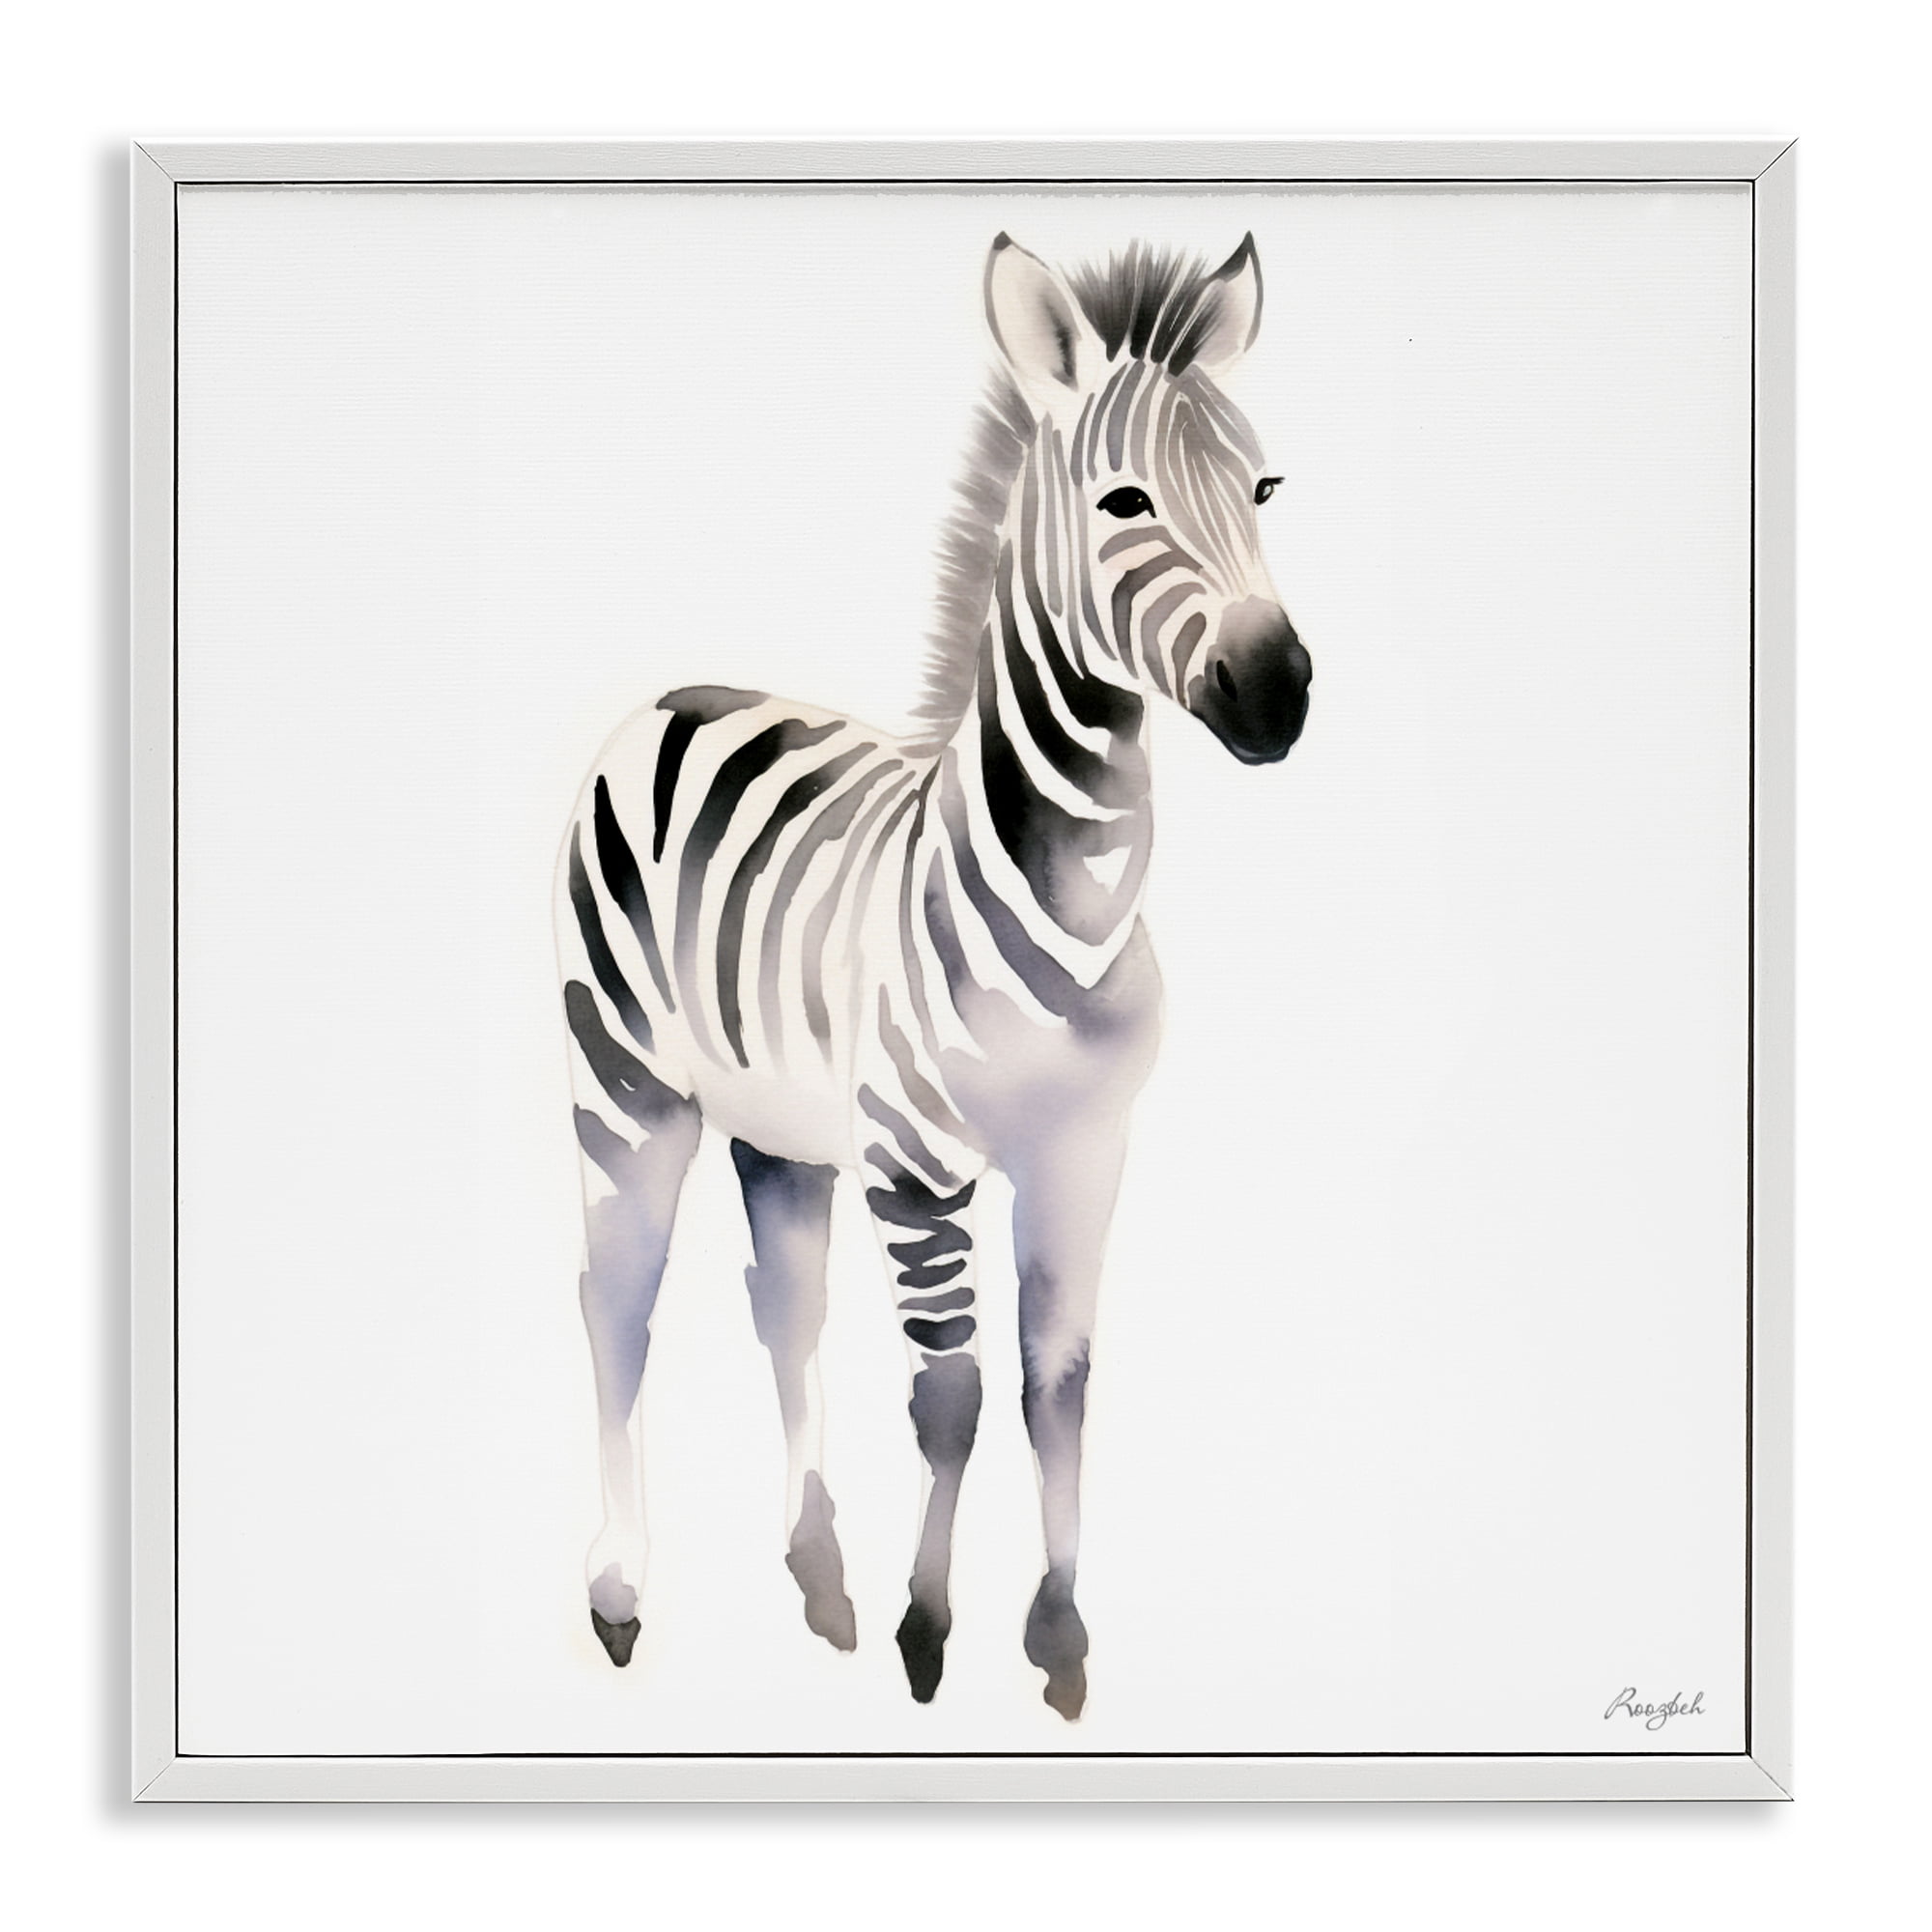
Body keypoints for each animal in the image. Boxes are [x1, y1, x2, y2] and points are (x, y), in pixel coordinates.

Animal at [554, 232, 1312, 1721]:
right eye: (1122, 498)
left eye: (1264, 487)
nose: (1277, 690)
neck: (1073, 908)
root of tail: (674, 693)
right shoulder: (917, 1165)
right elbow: (949, 1397)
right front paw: (928, 1628)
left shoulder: (1085, 1153)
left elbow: (1055, 1385)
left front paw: (1058, 1635)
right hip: (625, 1085)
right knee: (617, 1302)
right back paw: (617, 1597)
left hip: (780, 1123)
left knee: (782, 1306)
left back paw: (816, 1572)